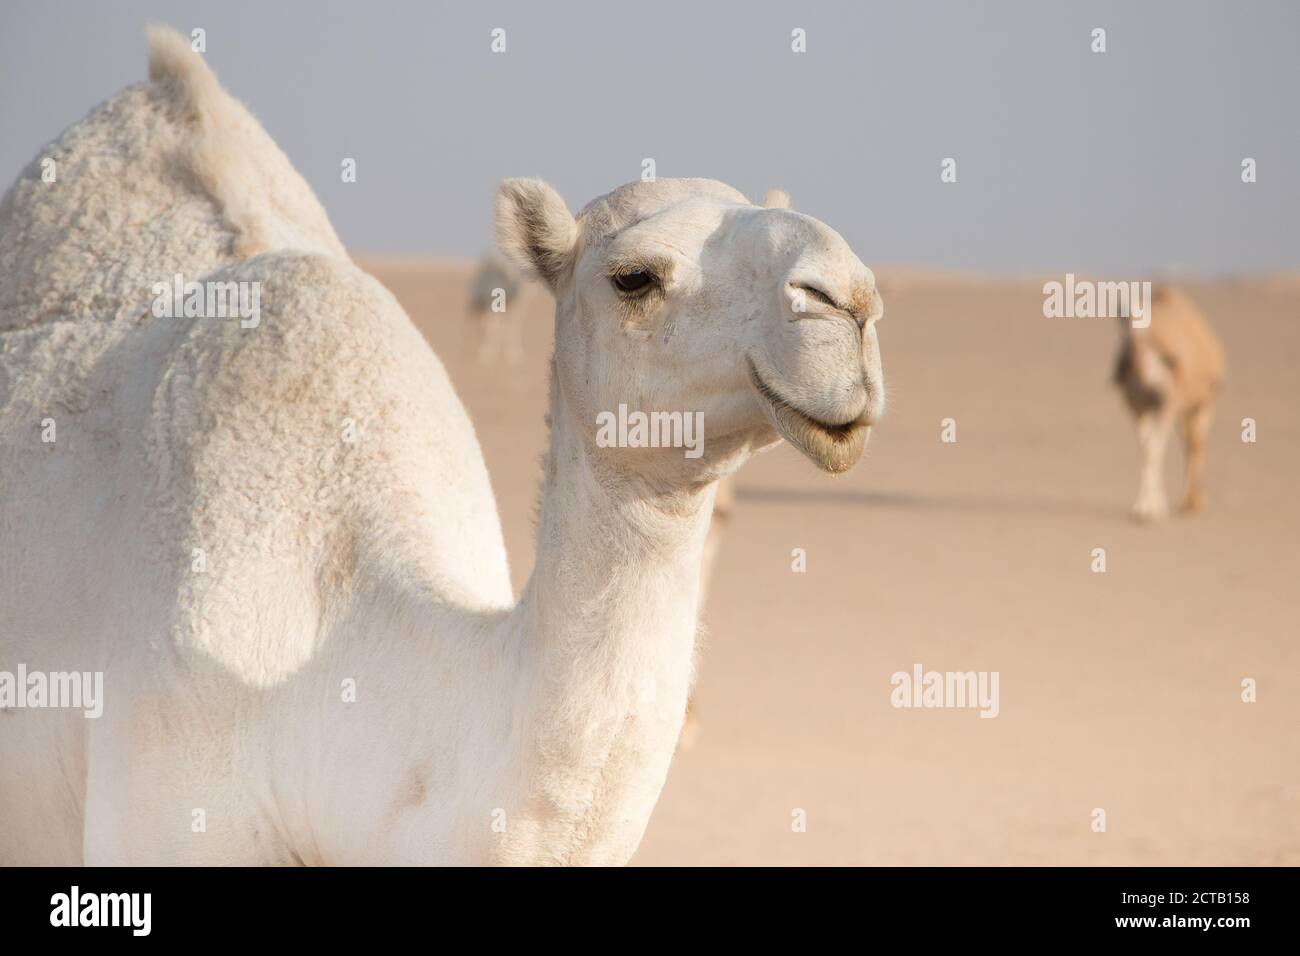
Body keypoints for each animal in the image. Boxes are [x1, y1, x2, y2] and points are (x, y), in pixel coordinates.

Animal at [1113, 286, 1225, 519]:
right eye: (1121, 316)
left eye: (1144, 316)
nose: (1132, 344)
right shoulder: (1137, 407)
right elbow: (1145, 448)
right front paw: (1143, 506)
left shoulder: (1167, 404)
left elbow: (1154, 448)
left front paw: (1152, 509)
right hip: (1182, 409)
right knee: (1188, 443)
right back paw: (1189, 501)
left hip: (1203, 402)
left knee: (1195, 444)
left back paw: (1193, 503)